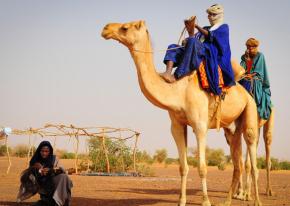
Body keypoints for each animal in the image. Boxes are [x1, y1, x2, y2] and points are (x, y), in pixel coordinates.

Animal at [102, 19, 262, 206]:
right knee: (237, 163)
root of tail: (246, 92)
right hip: (231, 128)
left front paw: (205, 201)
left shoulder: (200, 125)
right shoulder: (177, 125)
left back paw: (256, 201)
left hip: (250, 111)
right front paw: (181, 200)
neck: (179, 92)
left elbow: (202, 167)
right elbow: (183, 167)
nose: (106, 28)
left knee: (252, 157)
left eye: (125, 27)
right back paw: (227, 201)